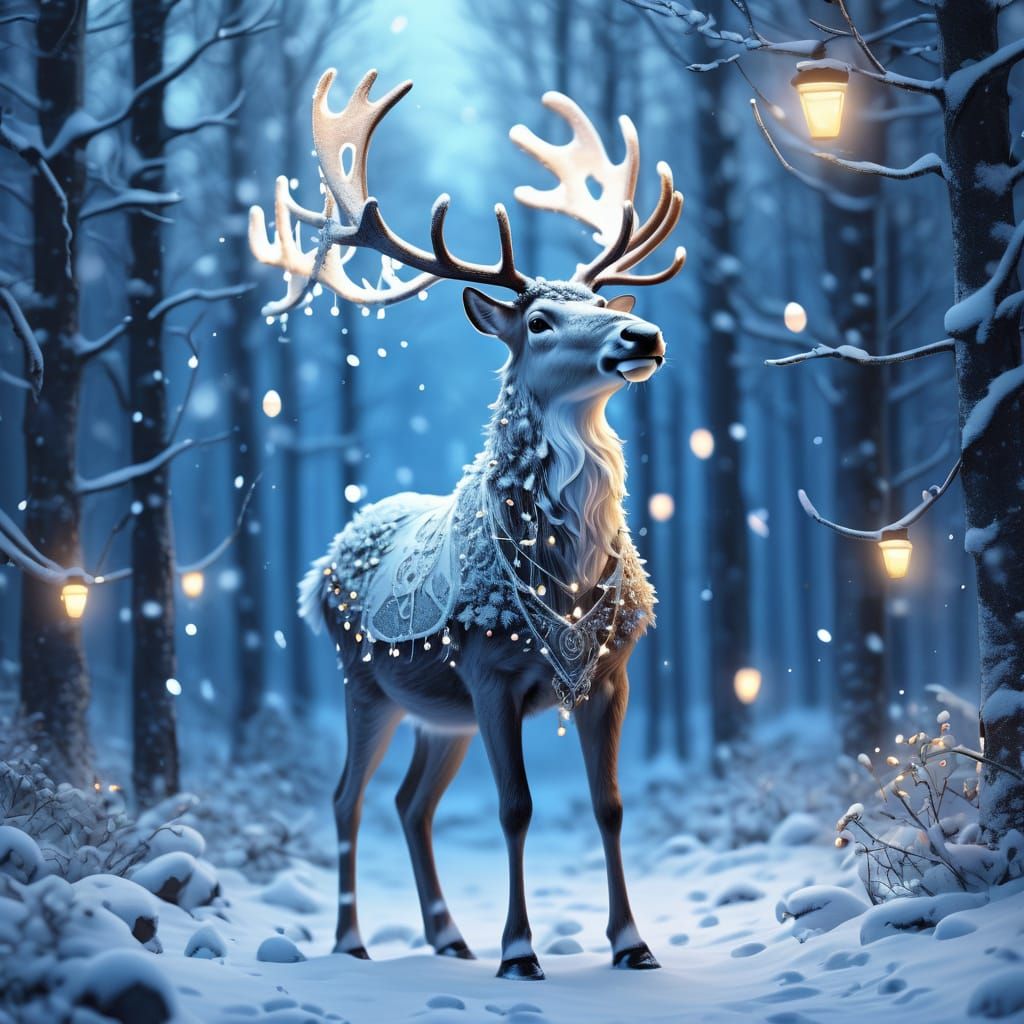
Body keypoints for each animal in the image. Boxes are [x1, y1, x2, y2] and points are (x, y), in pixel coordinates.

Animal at [248, 68, 685, 981]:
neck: (565, 575)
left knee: (411, 802)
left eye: (602, 298)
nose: (643, 333)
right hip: (364, 679)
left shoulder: (615, 671)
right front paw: (520, 951)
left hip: (435, 710)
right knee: (346, 797)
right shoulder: (489, 673)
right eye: (541, 321)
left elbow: (610, 804)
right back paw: (352, 941)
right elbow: (516, 807)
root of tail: (321, 568)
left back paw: (449, 936)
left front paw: (632, 943)